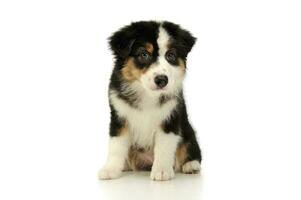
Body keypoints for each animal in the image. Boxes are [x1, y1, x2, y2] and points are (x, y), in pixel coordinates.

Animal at [99, 21, 202, 180]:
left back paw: (191, 165)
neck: (147, 93)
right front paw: (110, 169)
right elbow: (116, 145)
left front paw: (162, 171)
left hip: (188, 130)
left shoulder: (170, 118)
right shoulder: (119, 117)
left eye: (171, 55)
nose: (162, 80)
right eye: (144, 54)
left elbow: (164, 147)